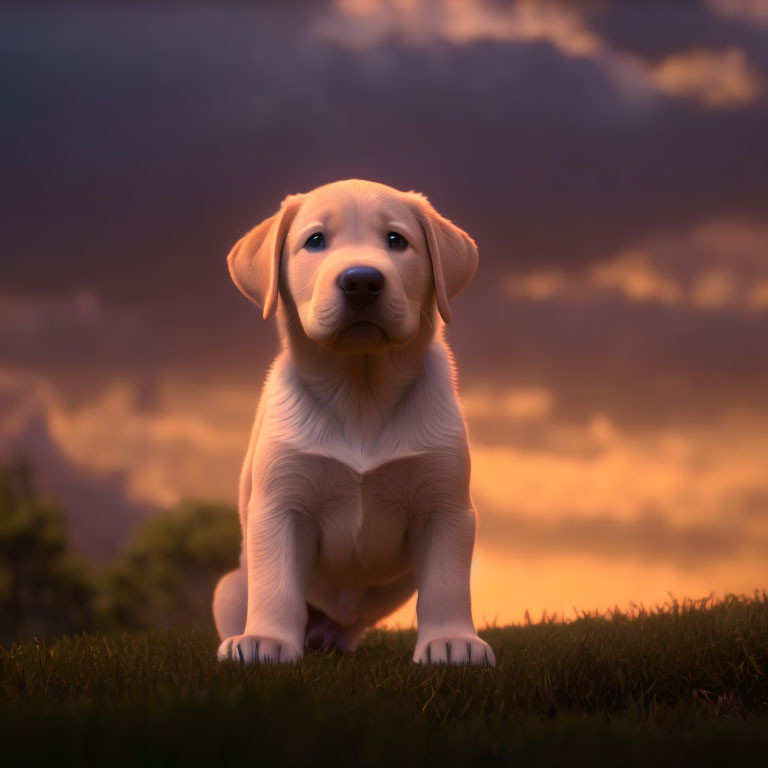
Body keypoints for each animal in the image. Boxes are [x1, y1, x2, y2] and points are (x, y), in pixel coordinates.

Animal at [213, 180, 496, 664]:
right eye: (315, 241)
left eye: (397, 241)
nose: (362, 280)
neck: (360, 393)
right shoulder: (279, 507)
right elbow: (276, 586)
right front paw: (268, 642)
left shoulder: (446, 508)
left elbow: (446, 585)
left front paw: (451, 641)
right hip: (229, 586)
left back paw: (328, 639)